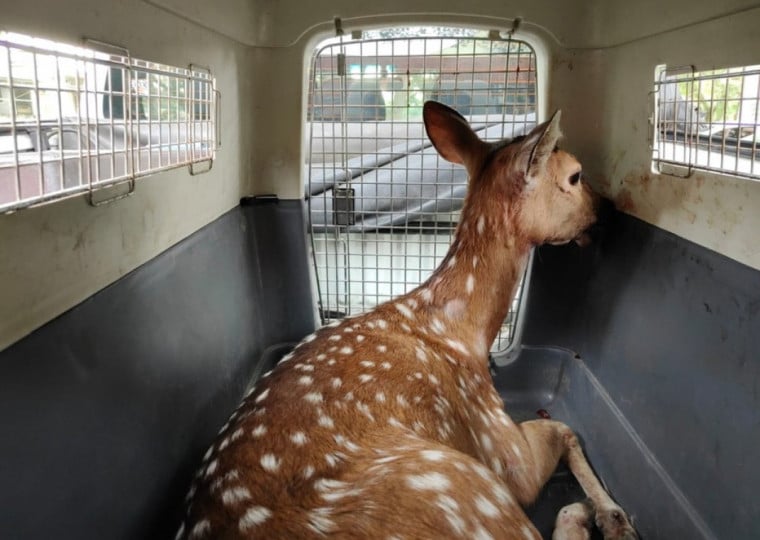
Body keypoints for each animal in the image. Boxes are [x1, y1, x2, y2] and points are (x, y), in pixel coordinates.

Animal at [175, 101, 639, 540]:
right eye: (576, 176)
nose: (610, 210)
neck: (461, 331)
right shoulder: (496, 438)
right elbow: (564, 429)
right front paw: (613, 514)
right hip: (463, 486)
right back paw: (588, 516)